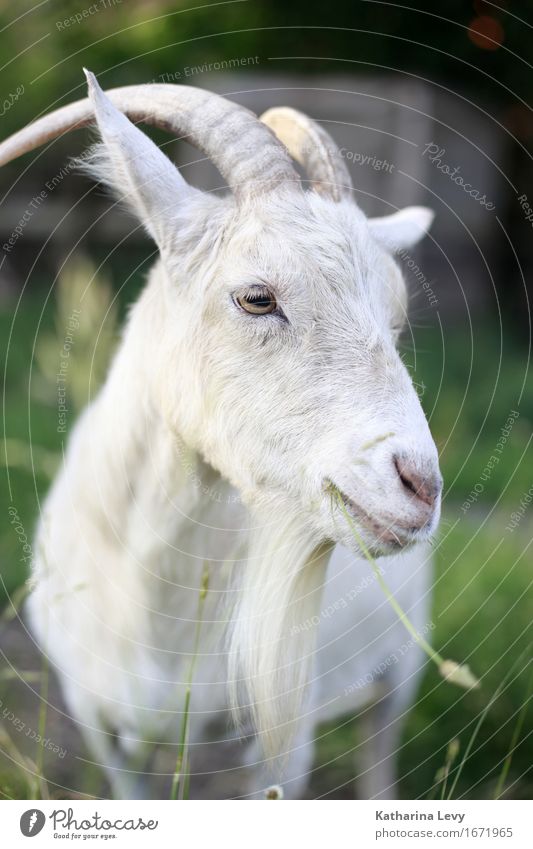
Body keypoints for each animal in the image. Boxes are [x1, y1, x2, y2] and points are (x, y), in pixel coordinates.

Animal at [0, 69, 440, 800]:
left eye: (396, 315)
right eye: (256, 297)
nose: (420, 485)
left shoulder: (276, 744)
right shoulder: (101, 724)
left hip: (400, 660)